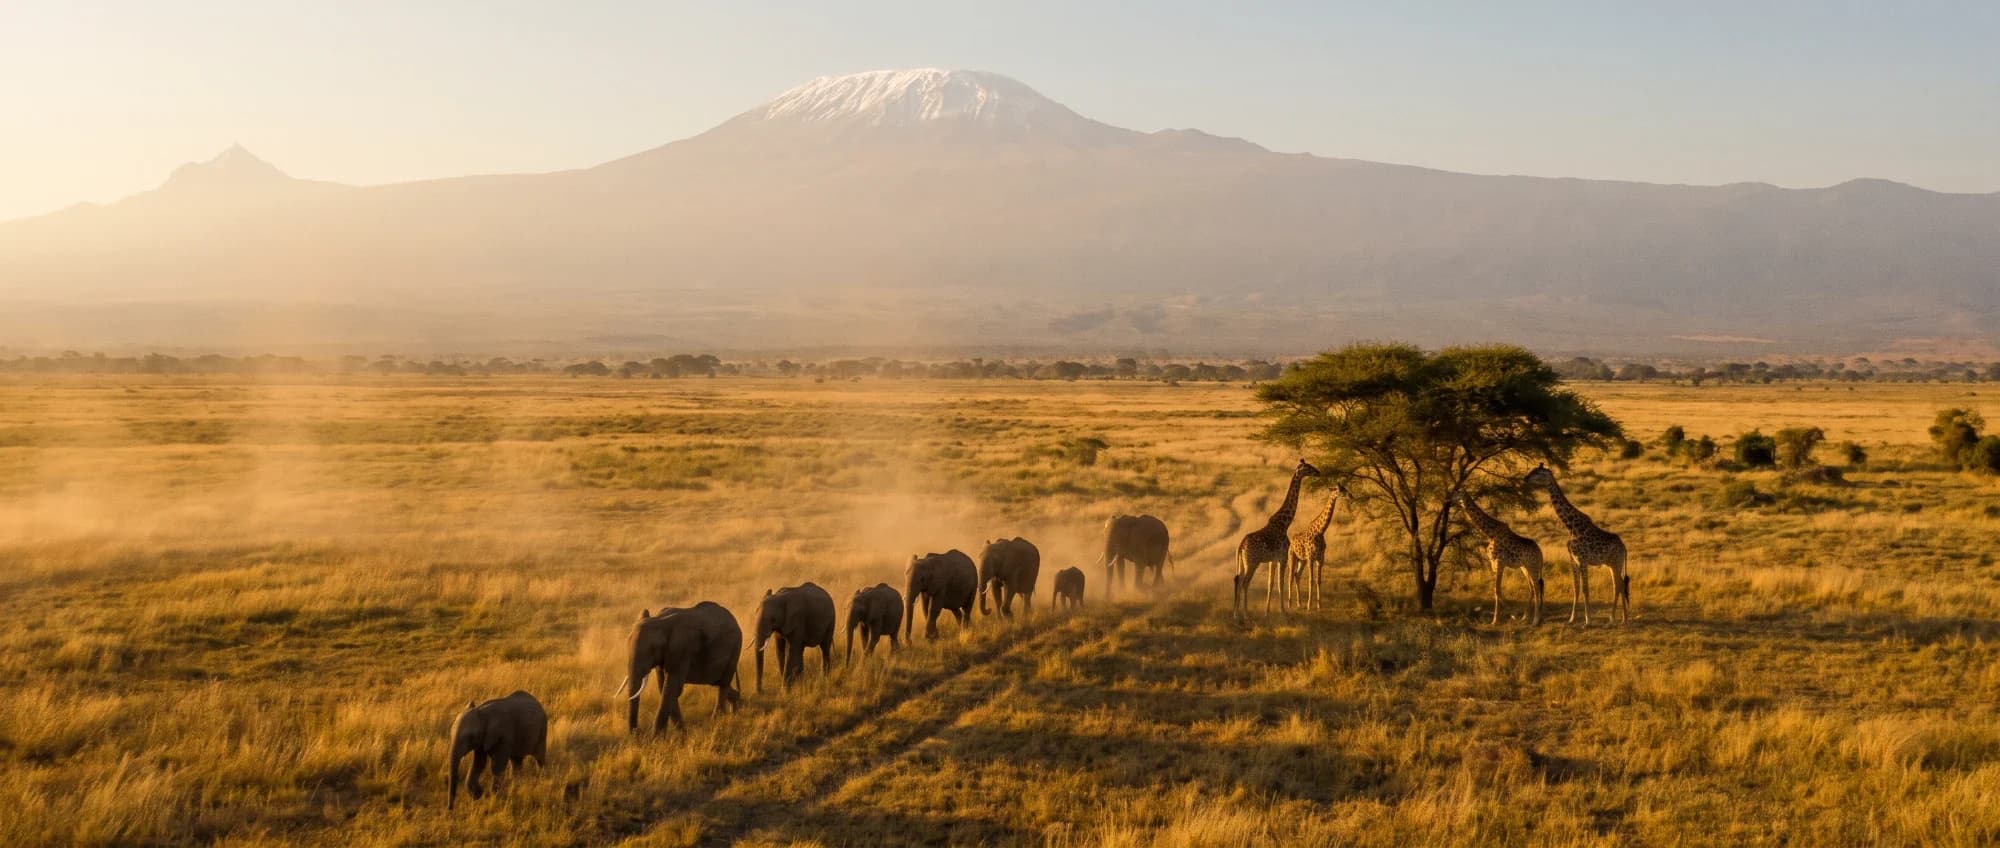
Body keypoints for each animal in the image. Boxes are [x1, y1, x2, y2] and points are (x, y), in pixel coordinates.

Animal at [617, 602, 743, 733]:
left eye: (652, 649)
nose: (638, 733)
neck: (661, 622)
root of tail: (734, 620)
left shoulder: (682, 650)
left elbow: (671, 688)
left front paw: (657, 736)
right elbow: (664, 687)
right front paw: (682, 733)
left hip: (735, 648)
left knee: (723, 684)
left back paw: (716, 721)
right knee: (718, 682)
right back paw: (735, 711)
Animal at [1234, 459, 1321, 621]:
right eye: (1308, 468)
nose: (1318, 472)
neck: (1284, 524)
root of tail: (1241, 546)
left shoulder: (1272, 560)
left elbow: (1271, 583)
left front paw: (1267, 612)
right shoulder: (1283, 557)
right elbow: (1281, 583)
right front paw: (1283, 611)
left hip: (1242, 563)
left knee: (1237, 580)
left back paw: (1235, 614)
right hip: (1252, 563)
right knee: (1245, 583)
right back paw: (1246, 614)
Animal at [1286, 483, 1348, 611]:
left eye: (1344, 487)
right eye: (1338, 489)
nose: (1349, 495)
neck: (1320, 531)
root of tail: (1292, 541)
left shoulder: (1320, 559)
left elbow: (1318, 580)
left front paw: (1319, 606)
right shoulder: (1311, 558)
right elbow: (1311, 581)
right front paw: (1309, 606)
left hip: (1302, 560)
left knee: (1297, 575)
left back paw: (1299, 603)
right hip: (1292, 557)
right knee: (1290, 577)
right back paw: (1289, 604)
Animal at [1455, 493, 1546, 625]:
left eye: (1456, 493)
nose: (1448, 500)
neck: (1490, 533)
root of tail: (1541, 554)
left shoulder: (1500, 563)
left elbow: (1497, 590)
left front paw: (1508, 617)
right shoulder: (1494, 564)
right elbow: (1496, 591)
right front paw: (1496, 620)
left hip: (1533, 568)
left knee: (1537, 588)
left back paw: (1535, 620)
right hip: (1525, 568)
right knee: (1532, 588)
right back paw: (1525, 617)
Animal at [1524, 465, 1630, 624]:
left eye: (1538, 473)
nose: (1526, 478)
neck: (1571, 526)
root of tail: (1625, 548)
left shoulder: (1582, 559)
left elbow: (1585, 589)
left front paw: (1588, 621)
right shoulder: (1573, 560)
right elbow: (1576, 588)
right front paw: (1572, 618)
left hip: (1615, 564)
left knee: (1618, 586)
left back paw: (1612, 619)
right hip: (1612, 565)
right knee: (1620, 585)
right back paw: (1623, 618)